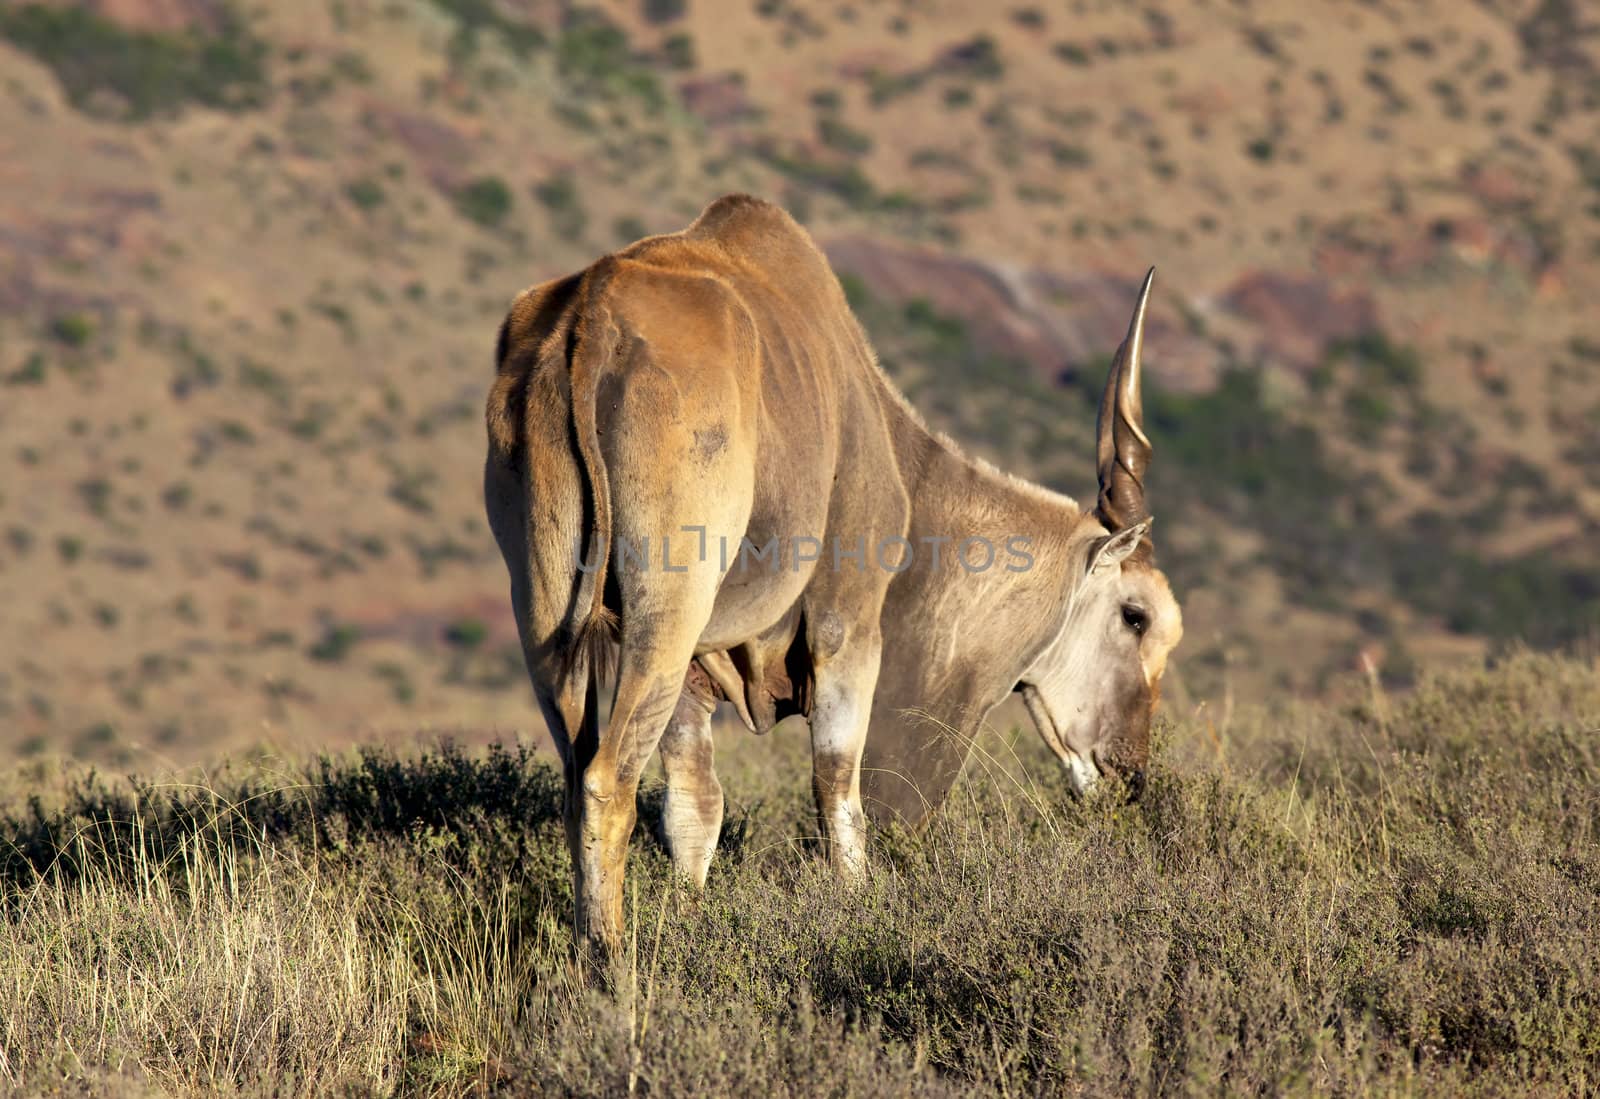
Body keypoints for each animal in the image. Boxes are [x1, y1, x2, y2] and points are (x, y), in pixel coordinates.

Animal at [480, 195, 1184, 953]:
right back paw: (610, 965)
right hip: (664, 616)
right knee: (606, 784)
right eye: (1136, 615)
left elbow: (695, 807)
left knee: (577, 778)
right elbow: (838, 793)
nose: (1129, 775)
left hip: (549, 621)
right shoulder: (846, 631)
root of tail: (591, 320)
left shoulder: (697, 673)